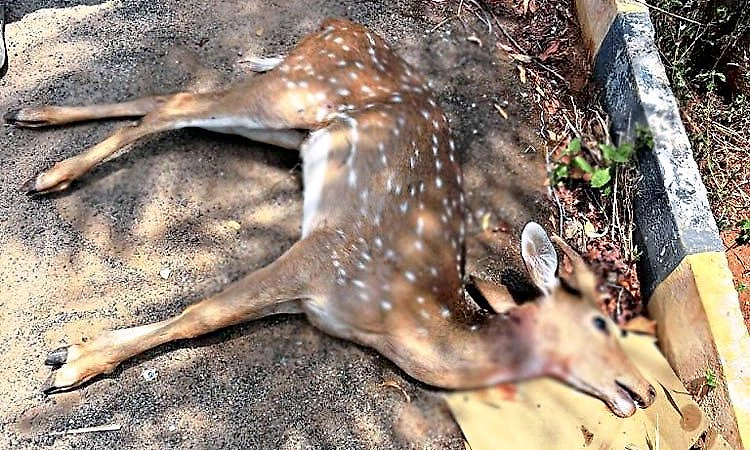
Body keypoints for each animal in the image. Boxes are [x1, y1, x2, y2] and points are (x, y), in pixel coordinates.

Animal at [6, 18, 655, 418]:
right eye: (603, 324)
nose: (646, 390)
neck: (397, 321)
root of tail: (337, 26)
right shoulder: (329, 253)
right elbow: (202, 314)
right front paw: (72, 361)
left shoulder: (314, 295)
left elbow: (210, 315)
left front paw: (74, 354)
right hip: (300, 91)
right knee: (181, 102)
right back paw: (50, 172)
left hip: (290, 122)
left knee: (178, 101)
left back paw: (36, 117)